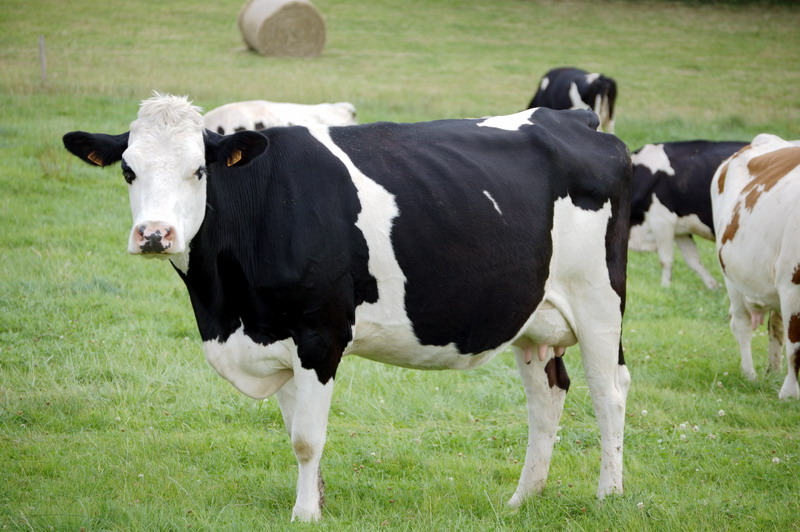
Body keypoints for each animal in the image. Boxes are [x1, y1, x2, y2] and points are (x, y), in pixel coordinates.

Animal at [63, 93, 632, 521]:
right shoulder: (277, 337)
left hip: (599, 300)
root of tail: (572, 118)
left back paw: (609, 496)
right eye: (128, 171)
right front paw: (315, 503)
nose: (154, 234)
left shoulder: (320, 335)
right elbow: (295, 431)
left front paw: (304, 516)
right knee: (546, 396)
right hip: (533, 317)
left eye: (200, 170)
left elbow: (306, 439)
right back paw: (522, 499)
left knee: (608, 391)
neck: (227, 309)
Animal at [629, 140, 748, 289]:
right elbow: (693, 260)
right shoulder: (681, 230)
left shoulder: (662, 220)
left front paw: (665, 286)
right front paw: (713, 286)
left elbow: (665, 259)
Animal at [711, 133, 800, 399]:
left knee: (776, 327)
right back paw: (749, 375)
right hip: (731, 277)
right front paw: (789, 394)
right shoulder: (792, 284)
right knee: (740, 323)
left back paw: (773, 372)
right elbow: (795, 344)